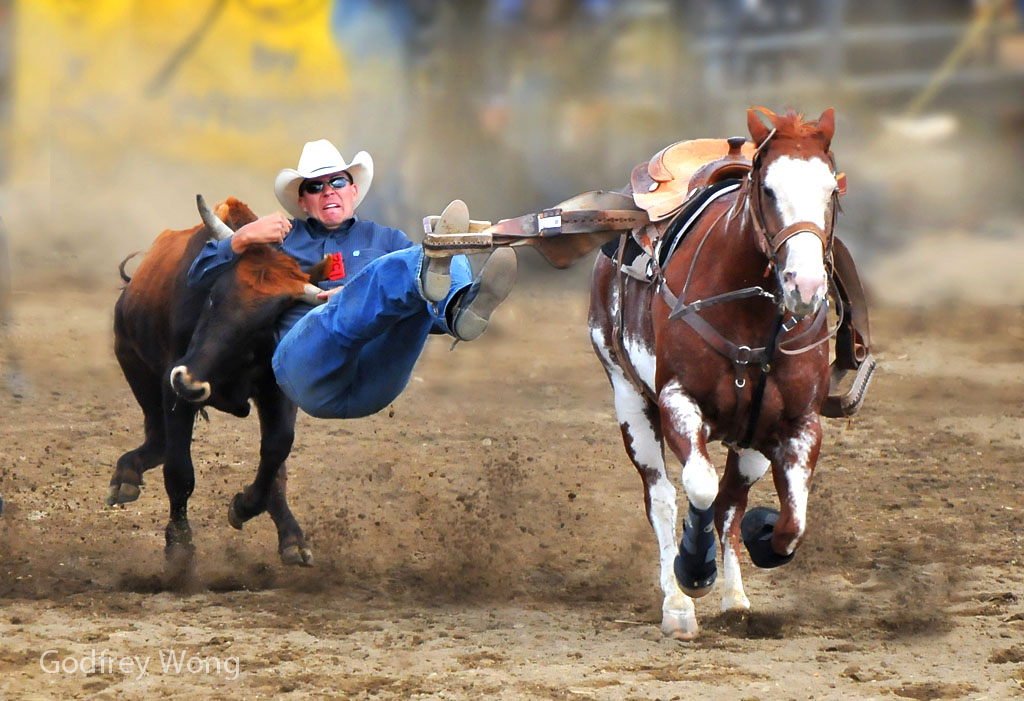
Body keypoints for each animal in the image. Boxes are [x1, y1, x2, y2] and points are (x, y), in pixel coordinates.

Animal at [593, 106, 839, 638]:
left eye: (832, 190)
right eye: (767, 189)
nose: (807, 286)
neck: (749, 310)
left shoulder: (798, 422)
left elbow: (791, 524)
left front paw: (762, 538)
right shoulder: (678, 401)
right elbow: (698, 486)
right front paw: (694, 567)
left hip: (751, 438)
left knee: (729, 504)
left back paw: (736, 599)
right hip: (629, 399)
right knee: (663, 497)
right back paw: (678, 605)